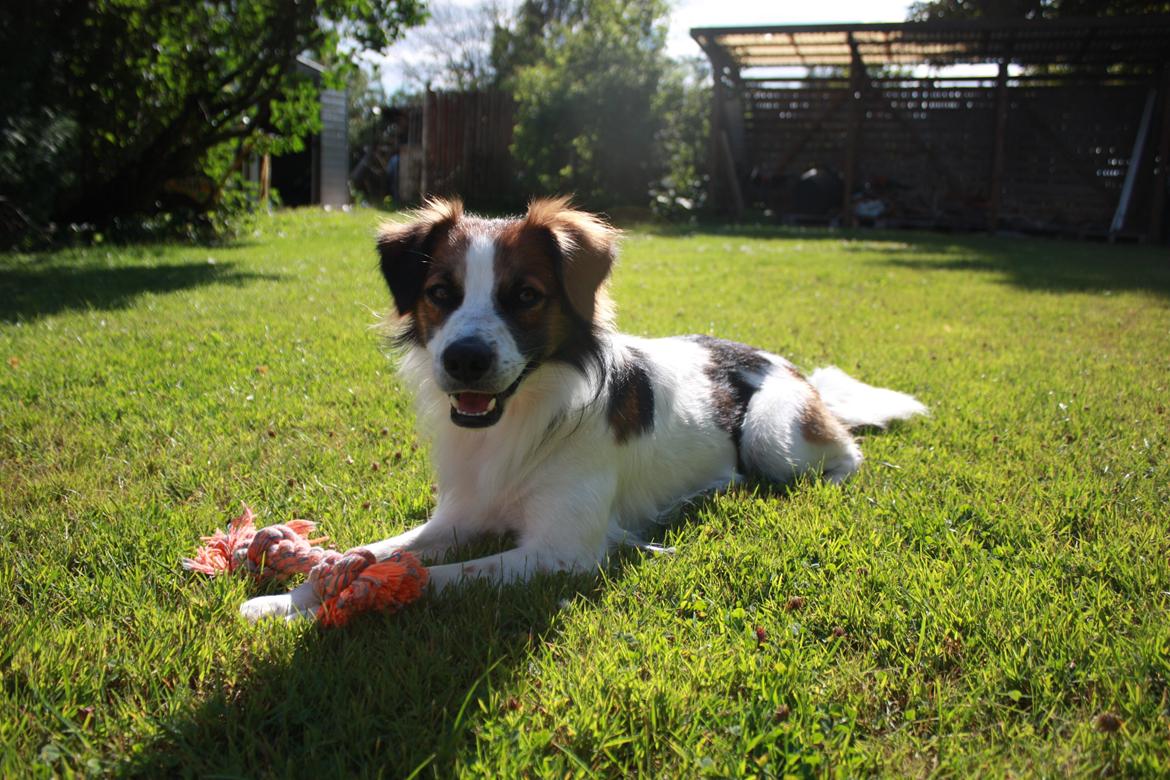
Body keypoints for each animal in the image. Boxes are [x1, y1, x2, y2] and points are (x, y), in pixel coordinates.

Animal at [242, 196, 926, 622]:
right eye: (440, 293)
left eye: (525, 295)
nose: (464, 360)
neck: (522, 420)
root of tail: (778, 360)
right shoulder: (460, 517)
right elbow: (384, 551)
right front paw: (286, 599)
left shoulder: (560, 551)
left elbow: (436, 575)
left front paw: (332, 602)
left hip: (772, 435)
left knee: (843, 451)